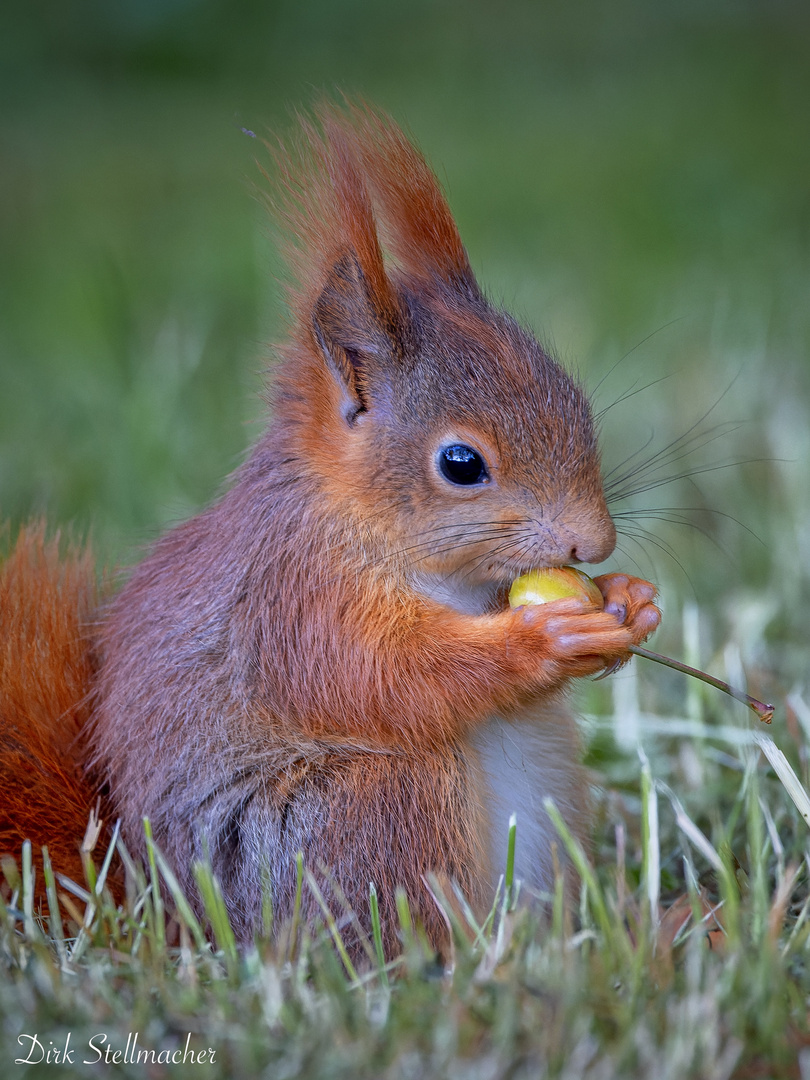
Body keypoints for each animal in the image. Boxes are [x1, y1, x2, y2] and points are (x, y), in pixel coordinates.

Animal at [0, 103, 660, 954]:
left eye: (576, 401)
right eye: (460, 463)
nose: (592, 543)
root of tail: (173, 918)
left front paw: (630, 600)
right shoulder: (291, 599)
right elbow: (383, 675)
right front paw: (541, 641)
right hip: (368, 806)